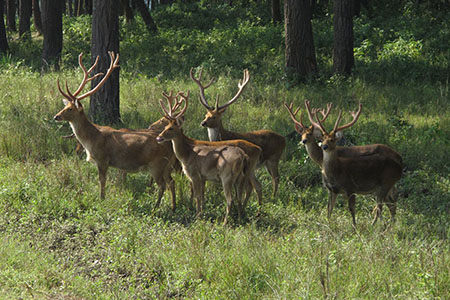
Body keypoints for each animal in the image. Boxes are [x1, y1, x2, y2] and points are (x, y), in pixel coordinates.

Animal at [53, 52, 178, 211]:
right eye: (65, 106)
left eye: (70, 109)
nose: (56, 116)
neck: (91, 139)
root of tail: (171, 146)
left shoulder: (102, 158)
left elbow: (102, 180)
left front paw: (101, 199)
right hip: (167, 166)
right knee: (172, 182)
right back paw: (173, 206)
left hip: (157, 164)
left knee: (162, 185)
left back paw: (156, 207)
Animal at [155, 90, 262, 224]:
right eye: (165, 127)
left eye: (171, 128)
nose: (159, 137)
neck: (187, 153)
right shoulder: (202, 177)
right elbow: (201, 196)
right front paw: (202, 214)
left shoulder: (195, 174)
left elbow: (197, 196)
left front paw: (197, 217)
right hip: (241, 176)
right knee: (242, 195)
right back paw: (241, 218)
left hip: (227, 176)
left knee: (231, 199)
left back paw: (225, 222)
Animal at [190, 68, 284, 199]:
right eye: (205, 115)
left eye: (214, 116)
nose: (203, 123)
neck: (223, 137)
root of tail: (284, 139)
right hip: (266, 162)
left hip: (274, 158)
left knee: (276, 178)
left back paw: (273, 198)